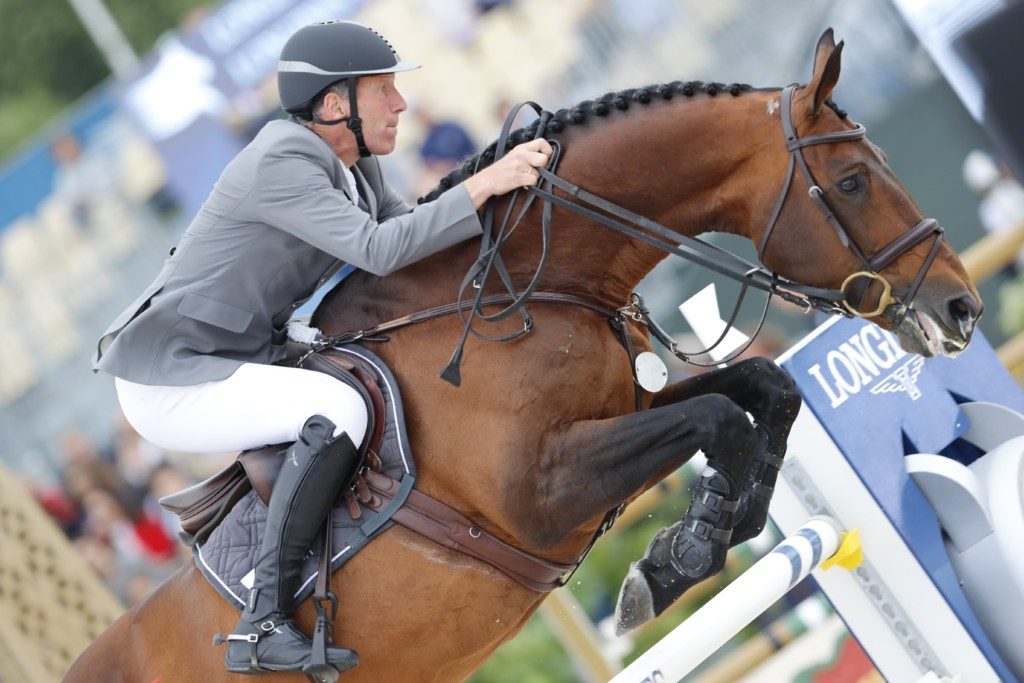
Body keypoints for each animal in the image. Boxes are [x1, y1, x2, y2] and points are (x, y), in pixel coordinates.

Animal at [68, 31, 978, 683]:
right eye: (853, 180)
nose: (960, 309)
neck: (533, 283)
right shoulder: (541, 493)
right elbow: (720, 416)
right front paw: (681, 557)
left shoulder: (619, 420)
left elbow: (766, 387)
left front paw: (688, 549)